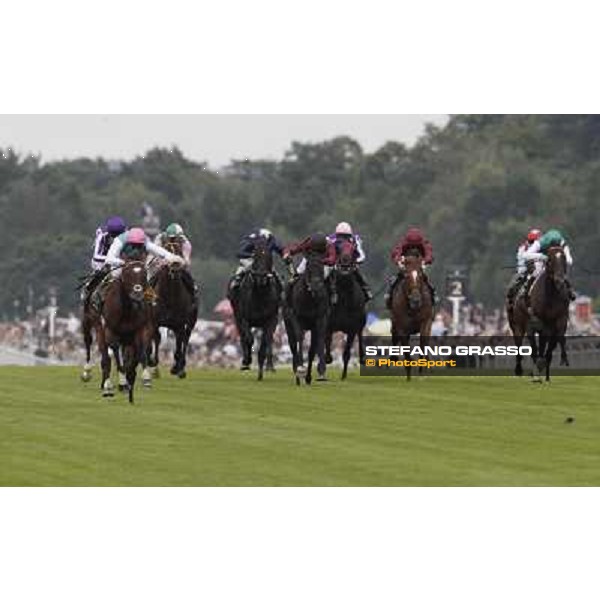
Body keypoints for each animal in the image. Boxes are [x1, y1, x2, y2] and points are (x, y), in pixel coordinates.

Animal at [97, 258, 156, 404]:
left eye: (144, 275)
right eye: (127, 274)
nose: (137, 293)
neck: (127, 310)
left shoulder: (143, 328)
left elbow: (142, 352)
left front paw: (146, 377)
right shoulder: (110, 330)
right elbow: (116, 356)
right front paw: (122, 382)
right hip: (100, 331)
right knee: (106, 359)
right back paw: (108, 387)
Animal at [150, 238, 199, 376]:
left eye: (178, 251)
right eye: (166, 250)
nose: (175, 264)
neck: (170, 296)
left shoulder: (179, 324)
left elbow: (179, 343)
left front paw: (177, 367)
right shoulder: (155, 321)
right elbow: (157, 338)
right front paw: (153, 361)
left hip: (191, 322)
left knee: (185, 339)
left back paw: (180, 367)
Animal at [230, 236, 282, 380]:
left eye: (269, 256)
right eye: (256, 256)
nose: (261, 277)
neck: (260, 294)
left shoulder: (271, 320)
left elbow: (265, 342)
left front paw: (261, 371)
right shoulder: (244, 318)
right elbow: (249, 339)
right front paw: (247, 361)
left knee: (268, 341)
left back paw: (269, 366)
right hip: (236, 315)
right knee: (243, 337)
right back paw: (245, 362)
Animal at [326, 237, 368, 378]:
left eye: (353, 249)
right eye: (337, 248)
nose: (345, 261)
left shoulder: (352, 328)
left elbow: (347, 353)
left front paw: (344, 375)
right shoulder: (329, 324)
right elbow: (326, 344)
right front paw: (328, 358)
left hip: (362, 321)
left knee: (360, 334)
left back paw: (362, 357)